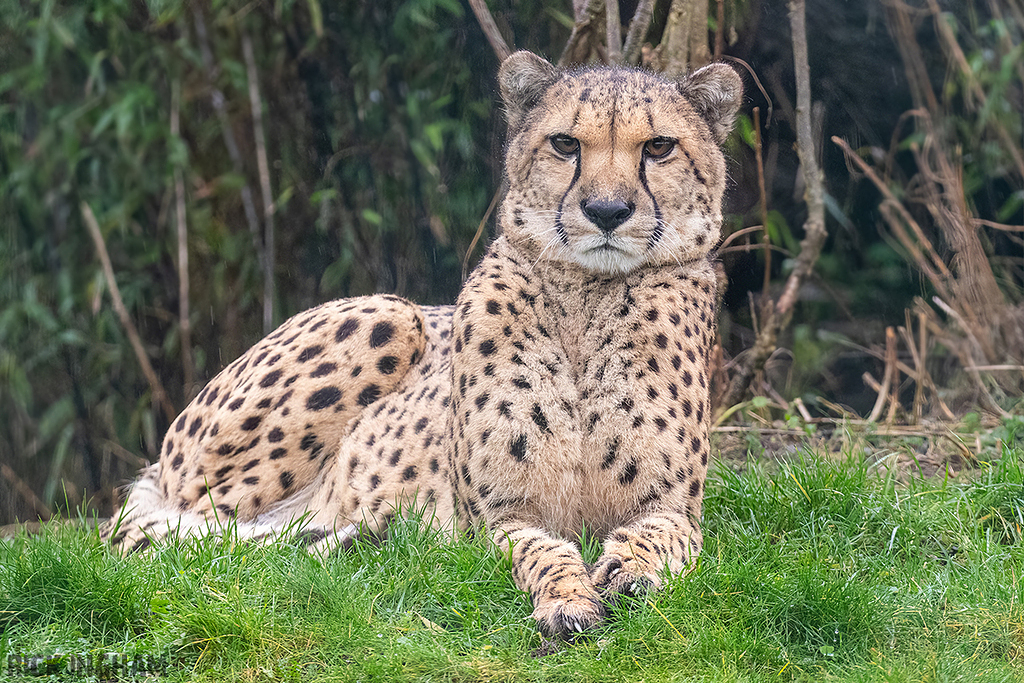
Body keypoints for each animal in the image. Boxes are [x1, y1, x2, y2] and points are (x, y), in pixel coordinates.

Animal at [102, 50, 742, 639]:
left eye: (658, 148)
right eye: (565, 144)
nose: (607, 211)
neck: (587, 297)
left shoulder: (674, 507)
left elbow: (656, 536)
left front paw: (630, 572)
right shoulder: (495, 516)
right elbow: (543, 552)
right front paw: (567, 599)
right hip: (387, 315)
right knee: (156, 533)